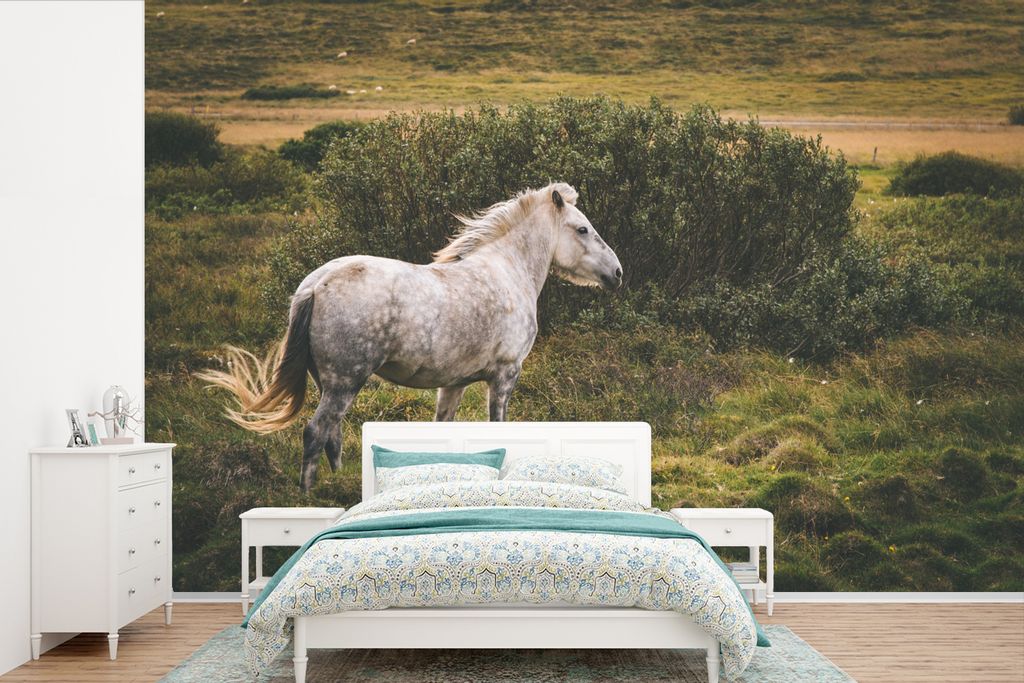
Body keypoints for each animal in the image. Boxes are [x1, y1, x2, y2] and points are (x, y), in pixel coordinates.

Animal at [198, 182, 622, 491]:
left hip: (331, 384)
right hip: (345, 382)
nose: (617, 273)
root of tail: (316, 285)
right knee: (317, 431)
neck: (507, 272)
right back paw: (308, 495)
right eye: (582, 229)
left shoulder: (454, 384)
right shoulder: (504, 376)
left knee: (332, 433)